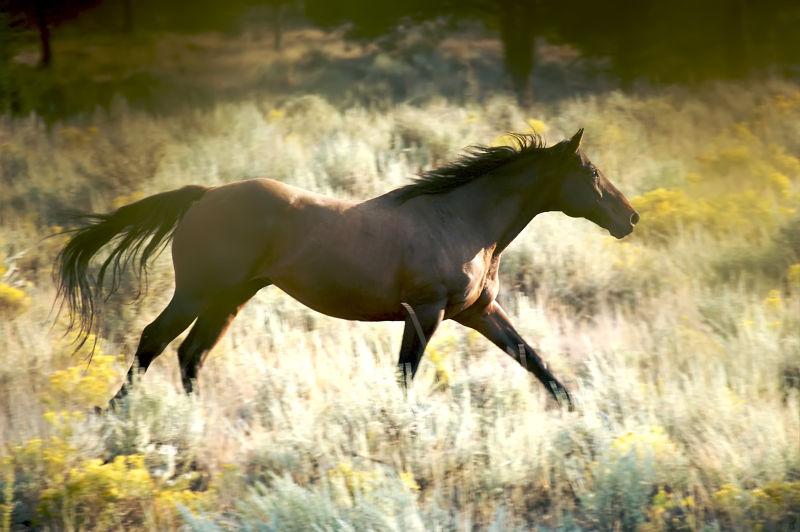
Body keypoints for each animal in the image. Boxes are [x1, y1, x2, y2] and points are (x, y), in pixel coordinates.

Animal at [54, 128, 636, 408]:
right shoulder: (425, 312)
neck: (463, 221)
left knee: (191, 354)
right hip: (198, 292)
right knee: (154, 341)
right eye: (591, 171)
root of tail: (203, 196)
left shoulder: (478, 312)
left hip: (230, 299)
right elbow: (405, 374)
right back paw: (117, 417)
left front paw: (578, 411)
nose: (629, 217)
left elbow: (533, 360)